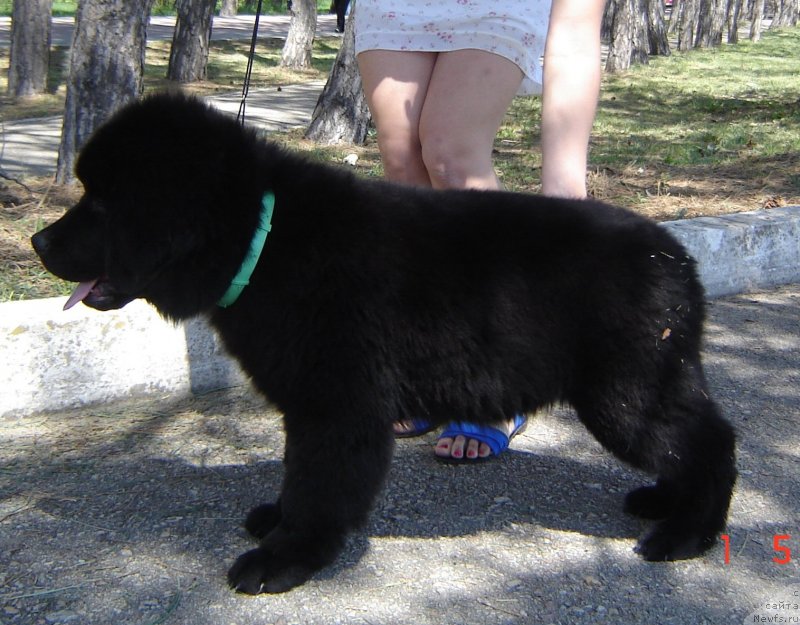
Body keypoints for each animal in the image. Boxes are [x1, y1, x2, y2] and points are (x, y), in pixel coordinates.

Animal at [36, 95, 736, 592]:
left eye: (103, 204)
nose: (40, 243)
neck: (265, 237)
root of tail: (679, 259)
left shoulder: (338, 405)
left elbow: (319, 486)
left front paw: (285, 558)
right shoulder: (313, 403)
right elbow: (298, 473)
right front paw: (278, 520)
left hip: (627, 392)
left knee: (711, 444)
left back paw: (686, 535)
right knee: (690, 443)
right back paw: (664, 503)